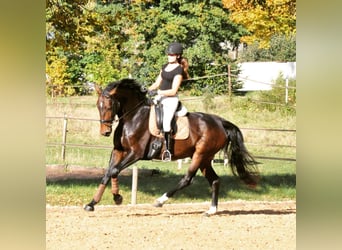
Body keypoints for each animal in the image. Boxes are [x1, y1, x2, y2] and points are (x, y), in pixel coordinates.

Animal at [83, 78, 260, 215]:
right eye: (98, 106)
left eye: (108, 106)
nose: (105, 132)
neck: (133, 116)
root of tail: (220, 122)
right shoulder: (119, 151)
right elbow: (108, 173)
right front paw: (92, 203)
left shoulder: (135, 153)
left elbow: (114, 170)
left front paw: (117, 198)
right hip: (205, 158)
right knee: (215, 180)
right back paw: (211, 210)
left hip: (200, 155)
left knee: (187, 179)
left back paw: (160, 201)